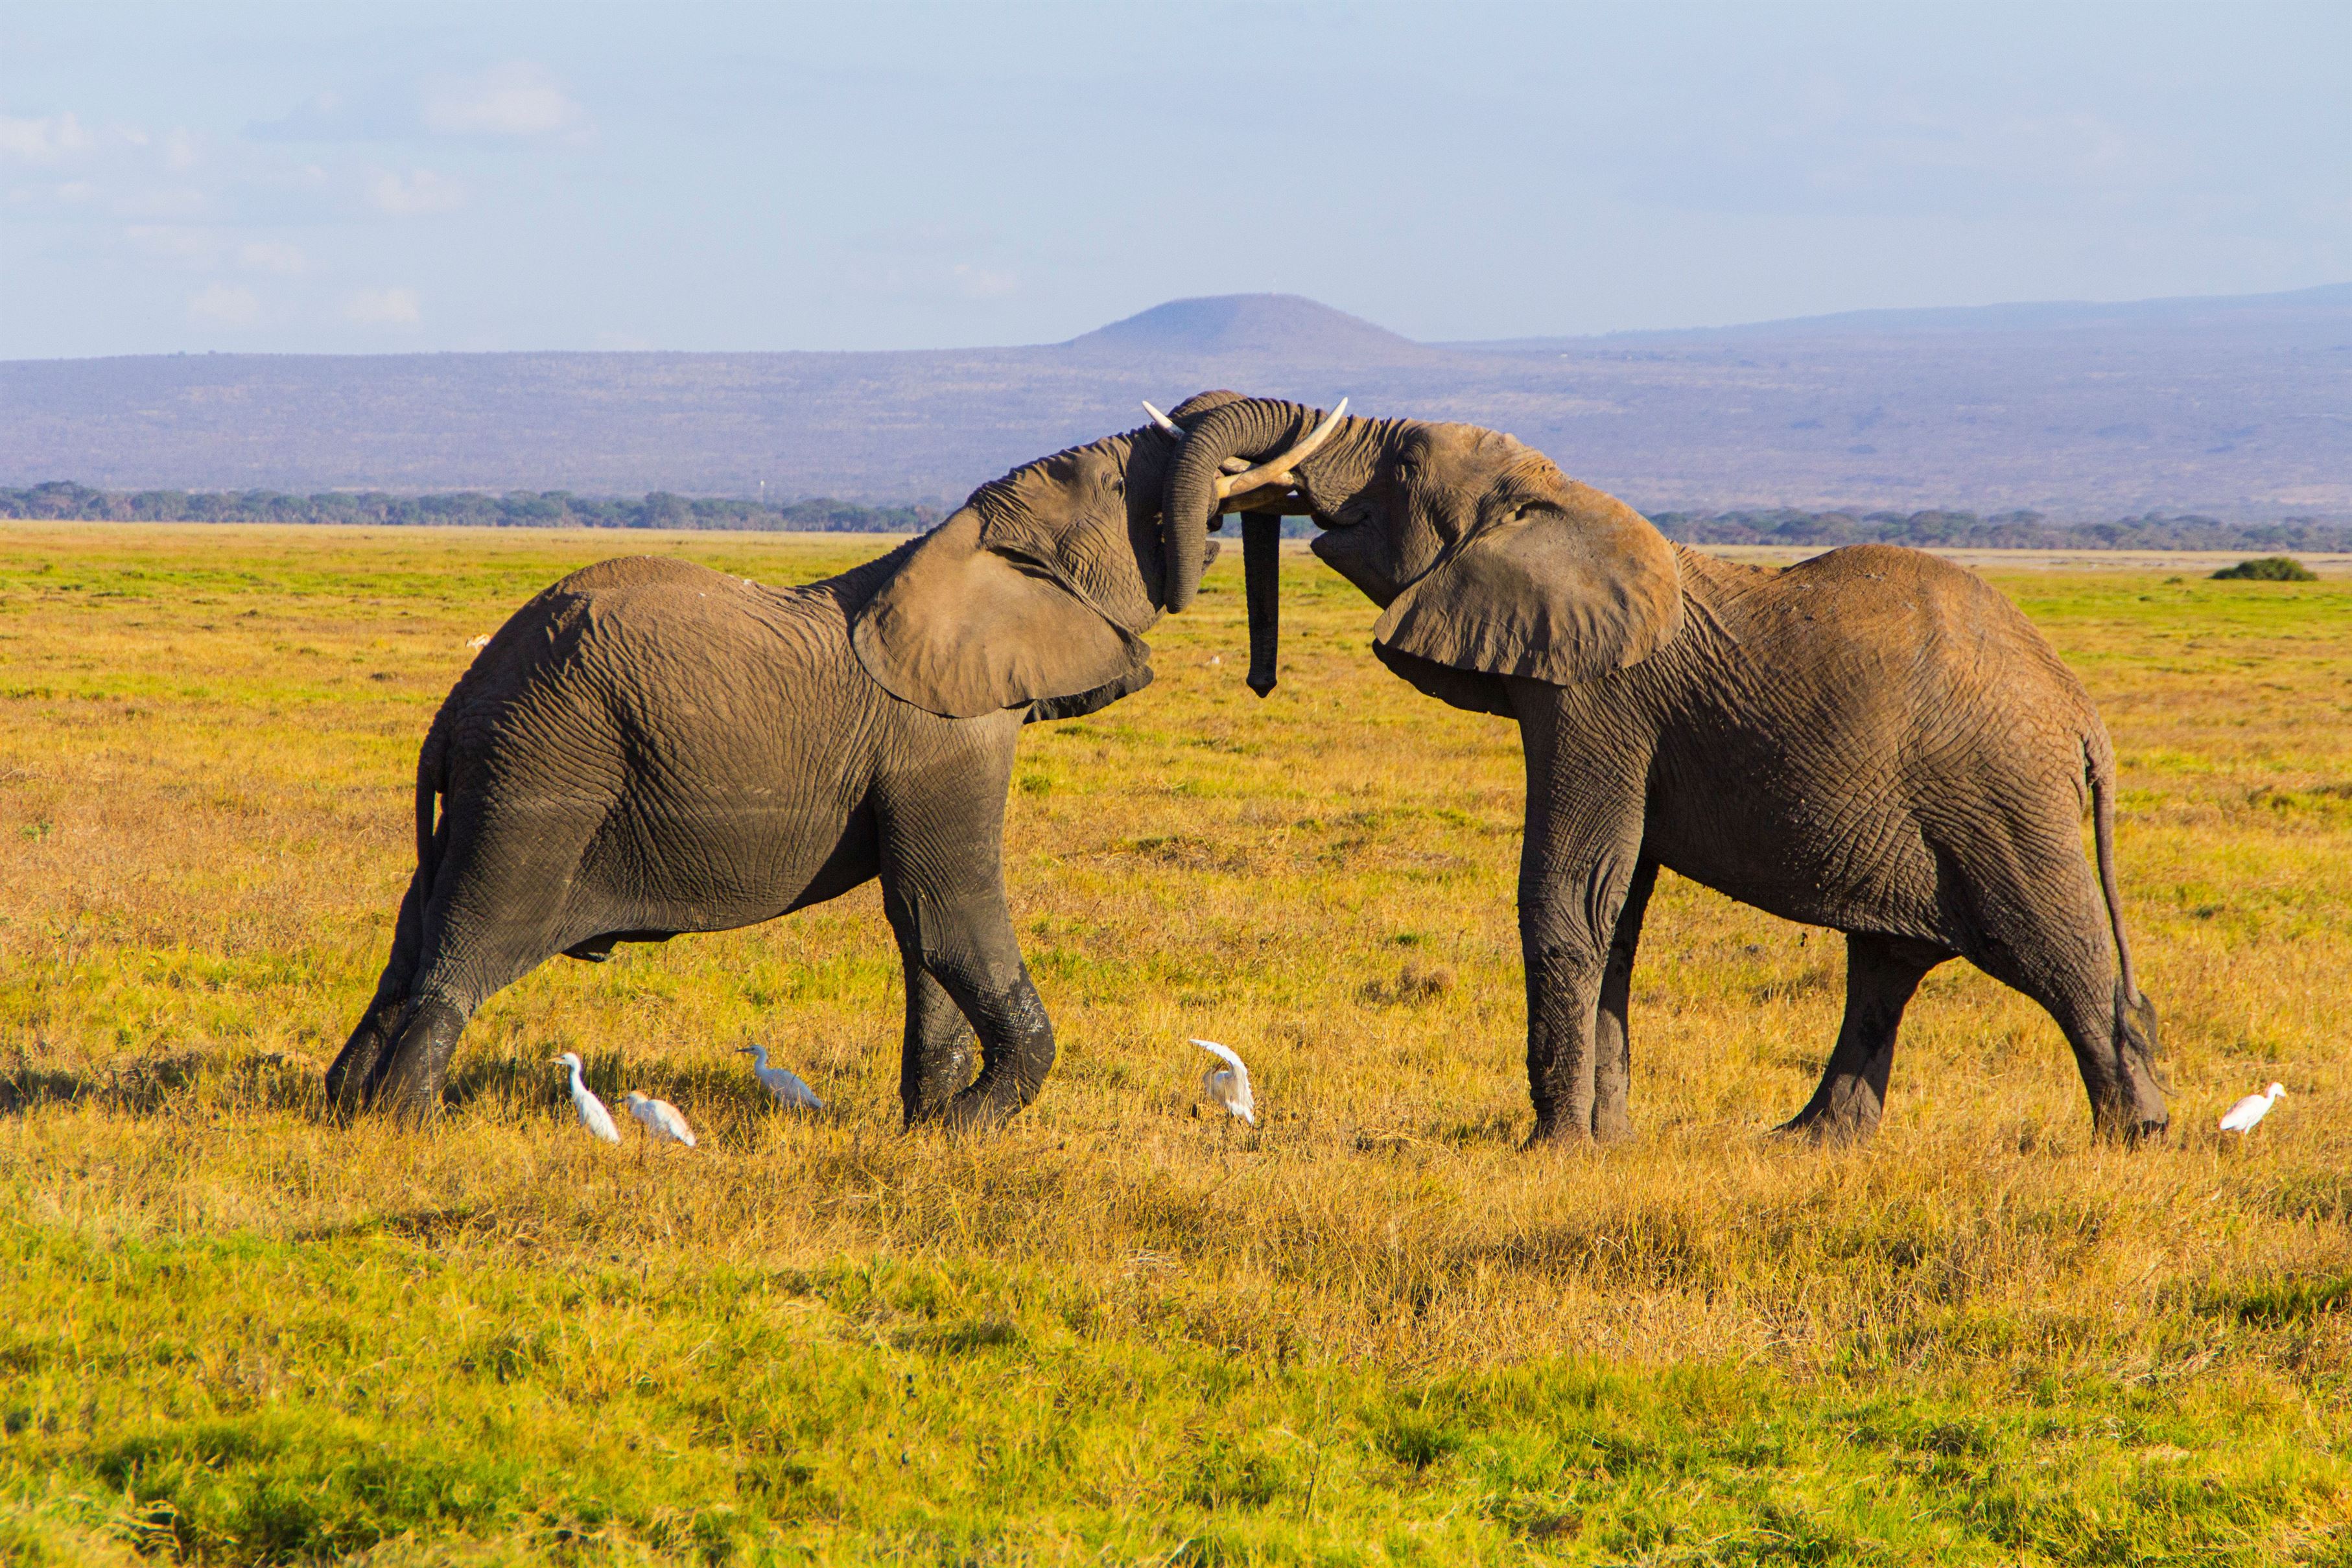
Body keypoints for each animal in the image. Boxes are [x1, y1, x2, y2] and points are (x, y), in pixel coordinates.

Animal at [327, 392, 1333, 1125]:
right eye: (1118, 478)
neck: (959, 547)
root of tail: (457, 706)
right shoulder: (940, 739)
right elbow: (949, 909)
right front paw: (971, 1123)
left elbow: (919, 926)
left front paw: (926, 1122)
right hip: (544, 769)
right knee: (473, 940)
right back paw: (405, 1122)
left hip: (500, 775)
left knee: (412, 942)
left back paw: (343, 1104)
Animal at [1157, 396, 2168, 1146]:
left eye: (1403, 464)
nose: (1199, 546)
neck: (1557, 495)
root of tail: (2084, 717)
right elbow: (1618, 908)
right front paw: (1609, 1144)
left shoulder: (1597, 698)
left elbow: (1570, 889)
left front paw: (1554, 1150)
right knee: (1886, 964)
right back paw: (1804, 1143)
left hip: (1998, 799)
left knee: (2054, 950)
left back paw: (2132, 1140)